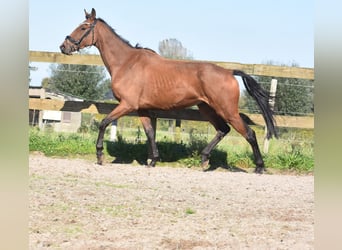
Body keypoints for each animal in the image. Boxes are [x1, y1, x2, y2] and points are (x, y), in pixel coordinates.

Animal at [59, 7, 278, 172]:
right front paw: (153, 160)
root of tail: (229, 72)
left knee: (249, 133)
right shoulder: (142, 109)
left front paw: (100, 156)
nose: (64, 46)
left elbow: (103, 123)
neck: (127, 63)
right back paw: (204, 159)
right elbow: (150, 133)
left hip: (227, 110)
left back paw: (259, 167)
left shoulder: (127, 105)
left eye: (83, 27)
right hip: (207, 108)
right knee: (223, 130)